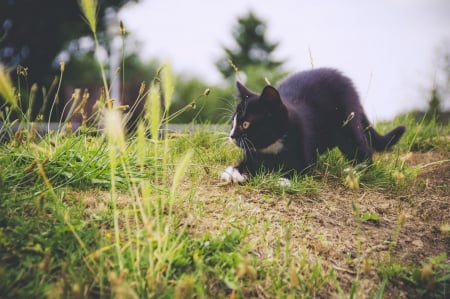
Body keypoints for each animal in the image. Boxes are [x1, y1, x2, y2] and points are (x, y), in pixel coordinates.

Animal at [223, 68, 406, 184]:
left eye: (245, 124)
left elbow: (299, 170)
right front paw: (235, 172)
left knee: (361, 148)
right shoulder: (253, 153)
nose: (232, 136)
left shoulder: (306, 155)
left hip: (346, 123)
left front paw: (282, 179)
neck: (272, 146)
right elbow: (249, 163)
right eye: (233, 121)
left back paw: (356, 170)